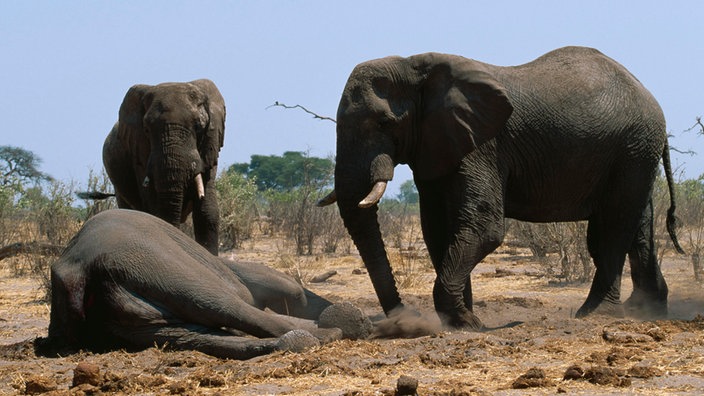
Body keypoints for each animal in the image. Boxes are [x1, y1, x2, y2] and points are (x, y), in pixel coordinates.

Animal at [44, 210, 368, 358]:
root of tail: (79, 269)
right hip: (156, 263)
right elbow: (289, 294)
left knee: (187, 336)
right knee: (226, 305)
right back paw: (338, 328)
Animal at [322, 45, 684, 332]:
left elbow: (484, 227)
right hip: (635, 152)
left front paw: (466, 323)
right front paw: (461, 322)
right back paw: (647, 311)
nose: (404, 318)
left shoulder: (485, 146)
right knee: (638, 225)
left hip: (632, 147)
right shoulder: (437, 145)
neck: (414, 65)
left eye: (384, 123)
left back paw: (594, 315)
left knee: (609, 229)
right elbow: (437, 230)